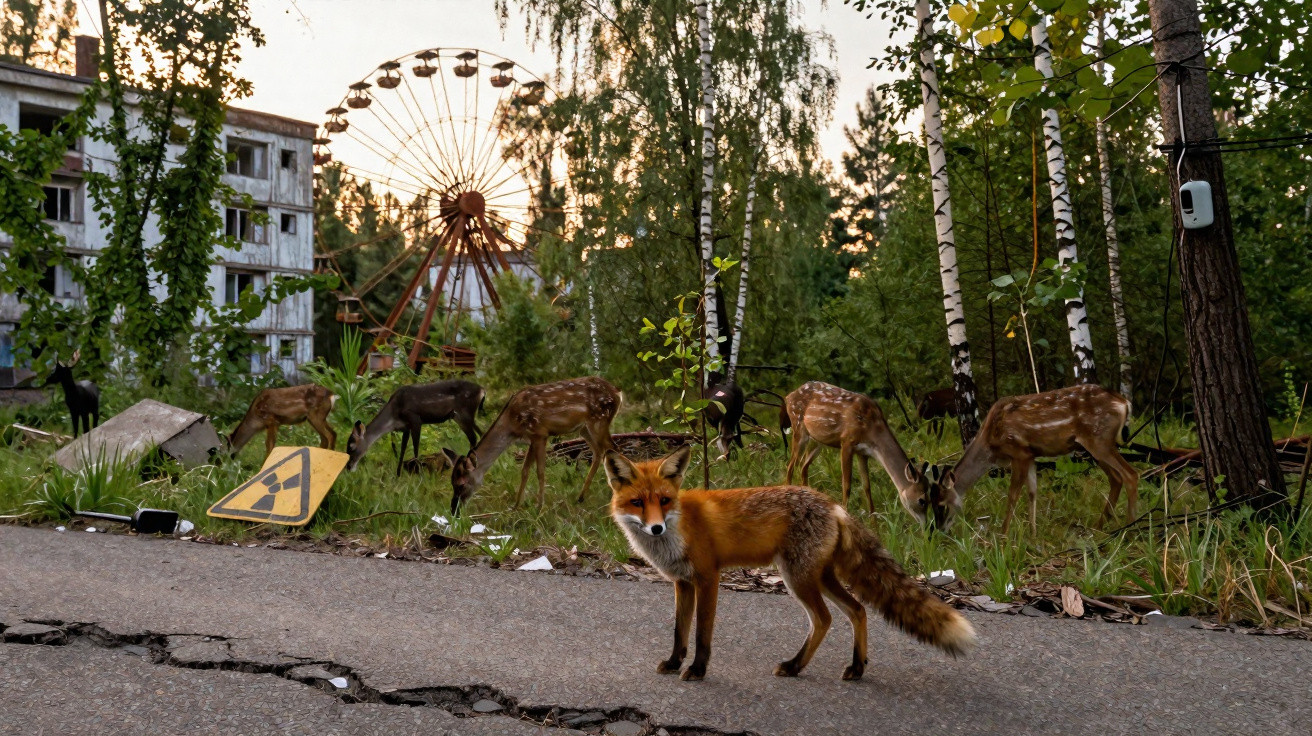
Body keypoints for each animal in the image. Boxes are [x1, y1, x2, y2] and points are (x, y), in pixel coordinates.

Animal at [604, 446, 976, 682]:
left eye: (664, 500)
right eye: (637, 503)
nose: (656, 527)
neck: (678, 527)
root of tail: (833, 505)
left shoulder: (708, 577)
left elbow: (701, 634)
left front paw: (697, 670)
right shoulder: (682, 582)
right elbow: (679, 631)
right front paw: (673, 662)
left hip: (797, 577)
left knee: (825, 619)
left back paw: (796, 666)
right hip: (819, 576)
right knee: (857, 610)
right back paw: (855, 668)